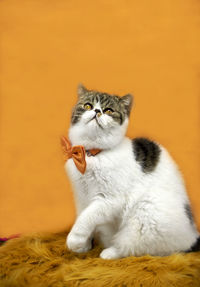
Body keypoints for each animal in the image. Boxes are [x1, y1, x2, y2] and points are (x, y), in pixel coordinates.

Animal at [63, 84, 200, 260]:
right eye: (88, 106)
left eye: (108, 110)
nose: (97, 111)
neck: (92, 155)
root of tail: (192, 236)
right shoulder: (81, 196)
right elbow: (82, 214)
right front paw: (84, 246)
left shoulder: (110, 199)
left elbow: (88, 216)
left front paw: (74, 239)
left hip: (145, 213)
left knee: (133, 246)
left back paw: (109, 252)